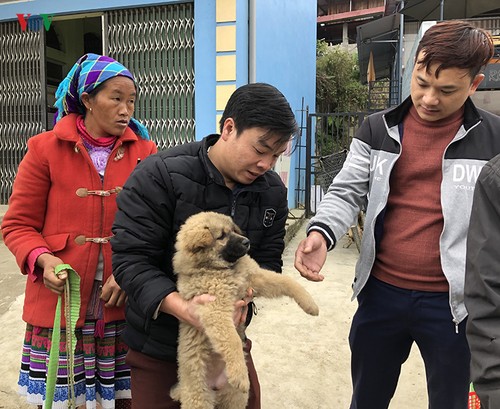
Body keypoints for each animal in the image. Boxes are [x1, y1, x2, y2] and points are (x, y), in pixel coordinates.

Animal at [170, 210, 318, 408]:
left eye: (233, 230)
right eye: (221, 236)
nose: (247, 241)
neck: (223, 269)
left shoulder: (255, 278)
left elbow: (287, 281)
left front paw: (311, 304)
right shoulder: (216, 310)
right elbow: (231, 339)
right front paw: (239, 375)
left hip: (235, 398)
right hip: (199, 398)